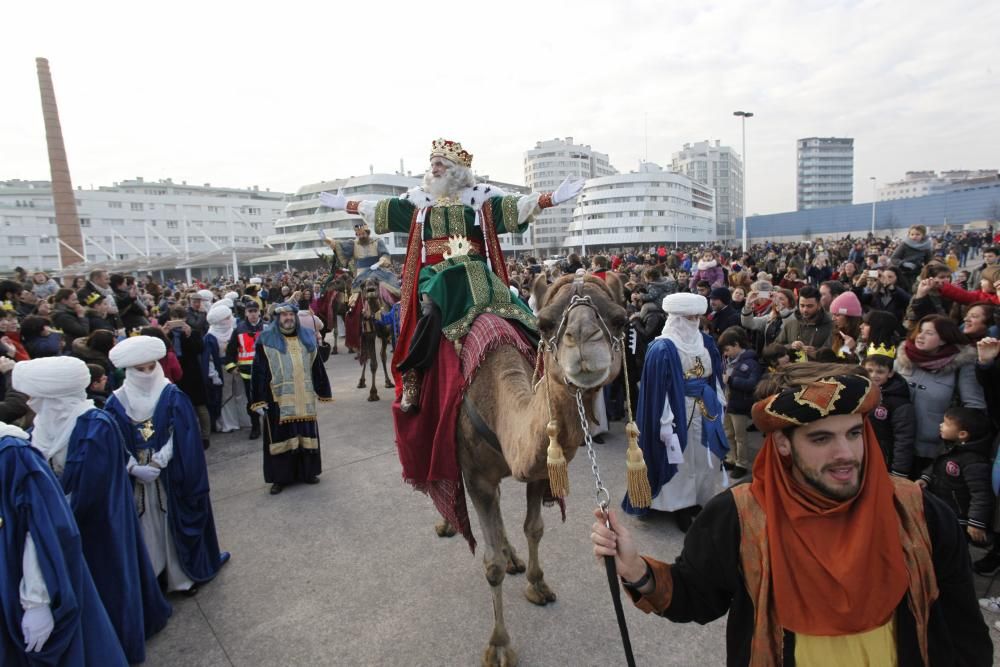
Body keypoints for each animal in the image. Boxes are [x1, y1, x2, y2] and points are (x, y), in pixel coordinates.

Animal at [454, 274, 624, 664]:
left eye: (621, 319)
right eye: (545, 323)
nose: (583, 339)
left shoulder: (539, 471)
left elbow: (534, 528)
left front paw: (537, 585)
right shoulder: (475, 476)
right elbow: (491, 565)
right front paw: (499, 645)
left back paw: (513, 556)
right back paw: (448, 525)